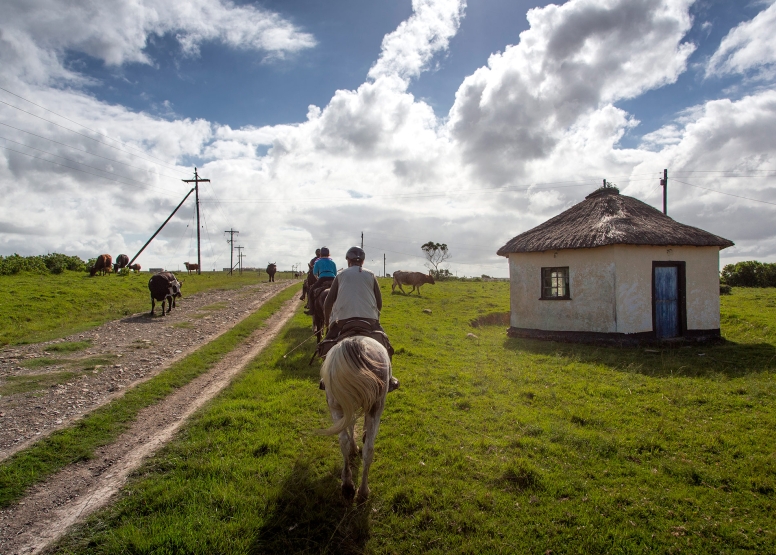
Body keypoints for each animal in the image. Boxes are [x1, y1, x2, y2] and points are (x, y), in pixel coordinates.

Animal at [320, 334, 392, 504]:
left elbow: (351, 426)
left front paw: (354, 447)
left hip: (337, 405)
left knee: (345, 441)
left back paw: (349, 485)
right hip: (375, 406)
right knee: (367, 448)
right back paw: (360, 489)